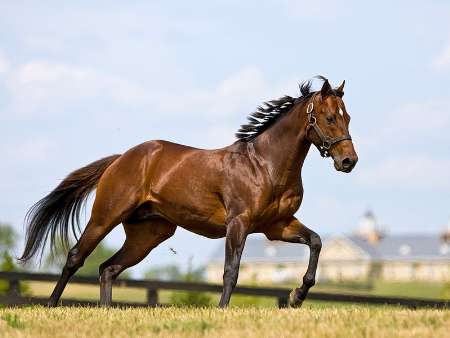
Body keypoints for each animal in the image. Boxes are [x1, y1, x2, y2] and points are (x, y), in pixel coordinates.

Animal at [19, 75, 358, 308]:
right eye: (330, 118)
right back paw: (51, 305)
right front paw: (222, 310)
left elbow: (316, 242)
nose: (349, 161)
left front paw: (296, 296)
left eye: (348, 117)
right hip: (106, 217)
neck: (265, 165)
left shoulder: (277, 226)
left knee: (108, 268)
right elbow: (231, 270)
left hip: (149, 234)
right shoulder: (239, 223)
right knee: (76, 257)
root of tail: (121, 159)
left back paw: (105, 311)